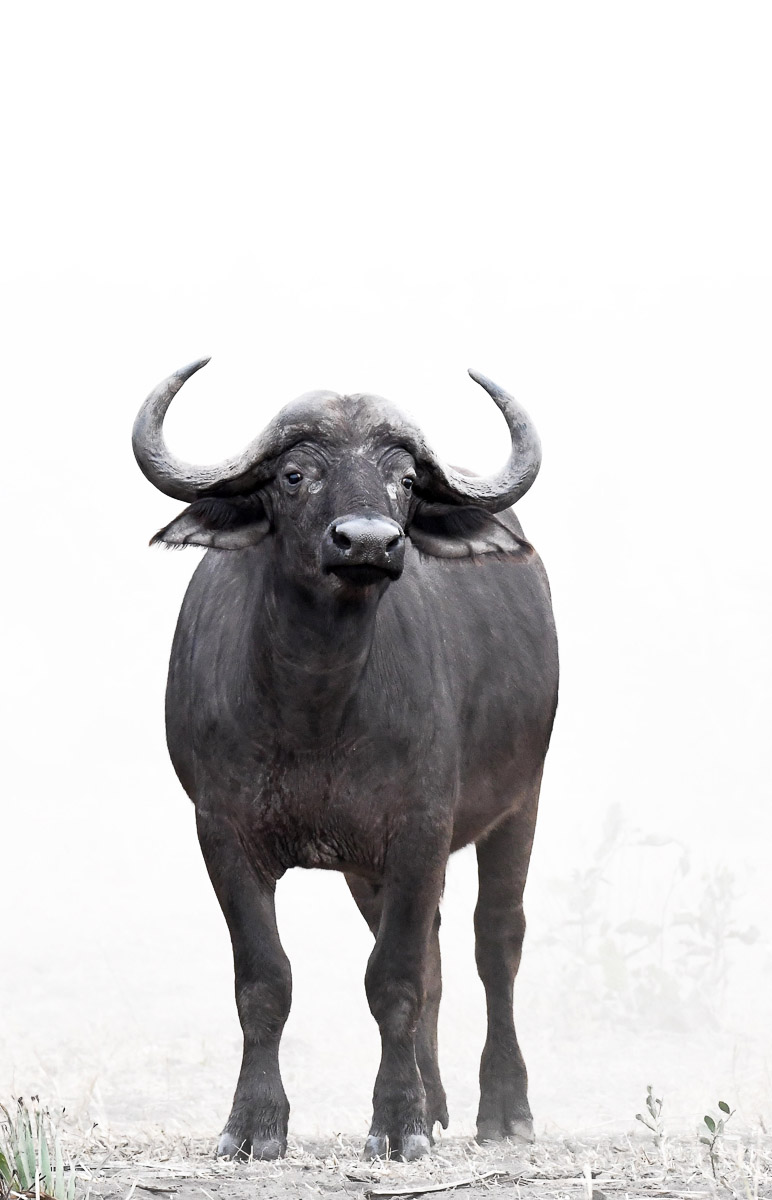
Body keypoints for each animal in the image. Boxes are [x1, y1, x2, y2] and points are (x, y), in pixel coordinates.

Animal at [133, 360, 558, 1161]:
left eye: (406, 480)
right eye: (295, 474)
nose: (367, 542)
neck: (315, 706)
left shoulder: (421, 828)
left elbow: (392, 980)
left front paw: (396, 1123)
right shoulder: (223, 831)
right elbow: (265, 981)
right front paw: (254, 1125)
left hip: (521, 802)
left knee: (496, 943)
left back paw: (504, 1107)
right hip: (370, 869)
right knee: (436, 958)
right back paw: (438, 1101)